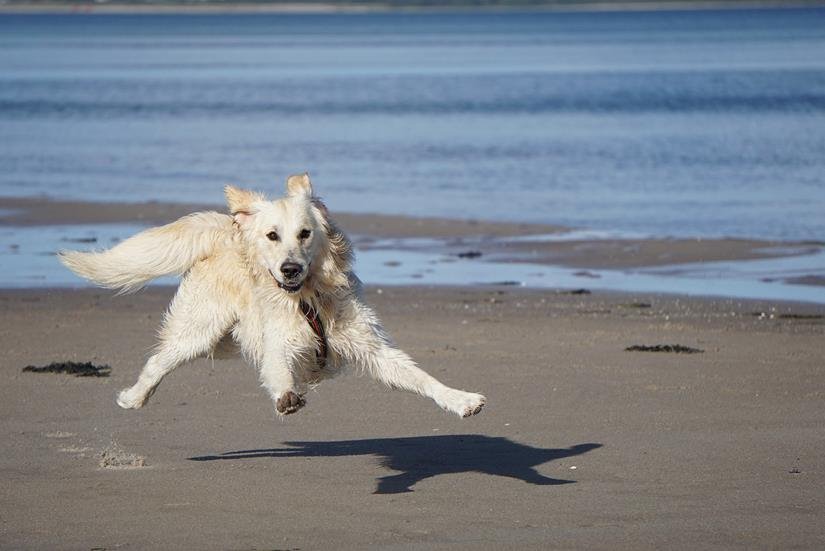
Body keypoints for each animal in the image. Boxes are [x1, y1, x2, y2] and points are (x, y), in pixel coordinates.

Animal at [61, 176, 486, 418]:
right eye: (272, 235)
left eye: (305, 233)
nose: (290, 269)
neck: (308, 299)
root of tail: (227, 230)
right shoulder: (278, 342)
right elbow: (279, 370)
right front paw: (286, 397)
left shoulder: (372, 347)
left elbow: (420, 377)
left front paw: (461, 400)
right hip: (199, 331)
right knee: (158, 361)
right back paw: (133, 398)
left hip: (224, 340)